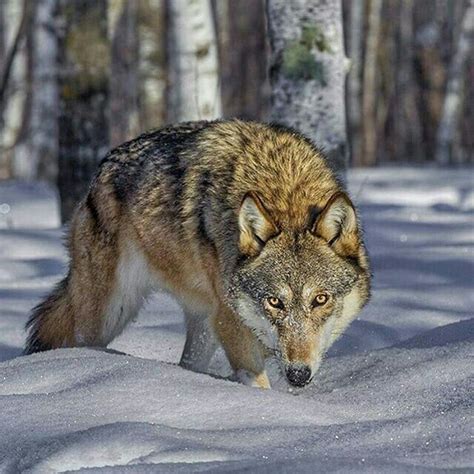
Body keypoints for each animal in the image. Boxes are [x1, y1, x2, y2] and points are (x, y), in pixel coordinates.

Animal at [24, 119, 372, 388]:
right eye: (275, 302)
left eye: (321, 299)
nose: (298, 375)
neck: (286, 191)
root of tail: (100, 170)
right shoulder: (232, 326)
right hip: (110, 314)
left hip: (202, 323)